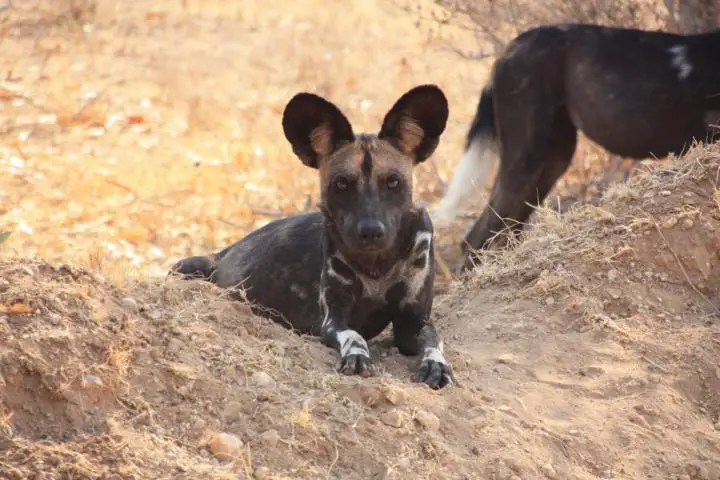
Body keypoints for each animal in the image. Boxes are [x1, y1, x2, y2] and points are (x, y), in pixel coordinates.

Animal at [169, 84, 452, 388]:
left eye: (393, 182)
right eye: (341, 183)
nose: (371, 231)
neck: (377, 265)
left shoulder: (414, 323)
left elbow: (434, 340)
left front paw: (436, 365)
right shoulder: (332, 320)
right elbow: (354, 336)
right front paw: (357, 356)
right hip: (186, 267)